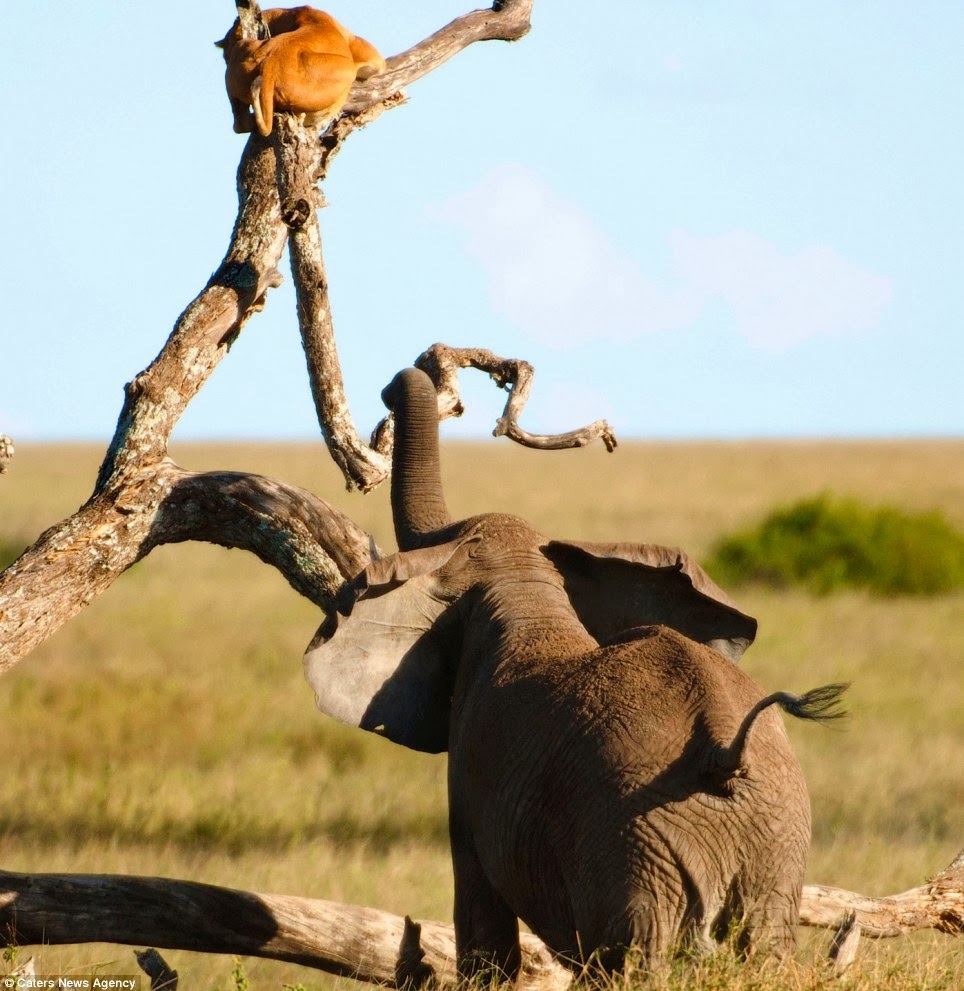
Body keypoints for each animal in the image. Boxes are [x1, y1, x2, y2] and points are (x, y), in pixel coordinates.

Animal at [304, 366, 844, 976]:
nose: (396, 385)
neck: (528, 592)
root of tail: (723, 753)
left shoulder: (469, 779)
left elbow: (482, 923)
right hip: (773, 843)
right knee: (767, 948)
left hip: (632, 845)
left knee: (635, 957)